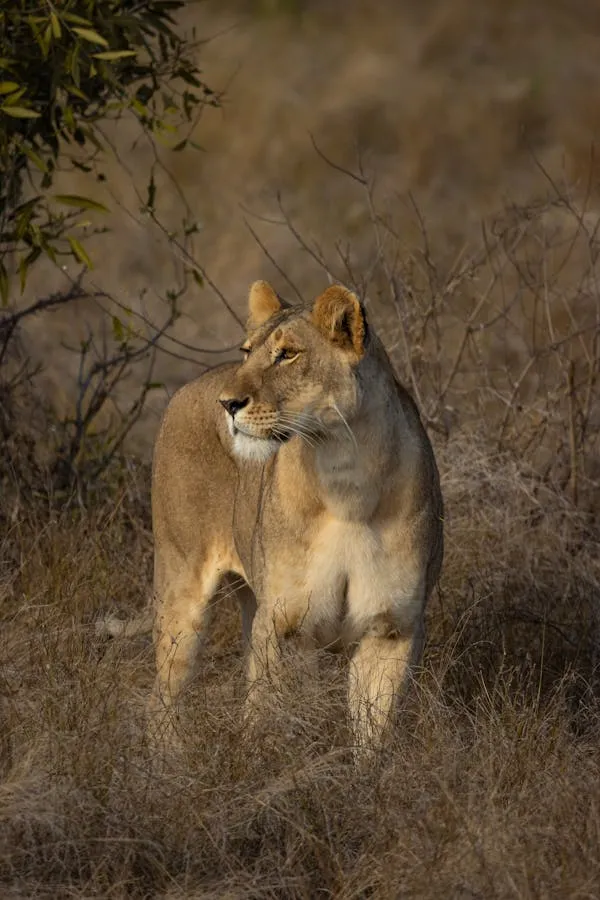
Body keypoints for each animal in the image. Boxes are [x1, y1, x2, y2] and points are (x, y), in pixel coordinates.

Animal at [107, 280, 443, 754]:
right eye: (247, 352)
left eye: (287, 354)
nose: (228, 403)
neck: (347, 478)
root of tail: (189, 386)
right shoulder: (283, 623)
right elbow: (272, 718)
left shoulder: (391, 628)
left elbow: (374, 735)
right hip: (181, 588)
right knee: (163, 699)